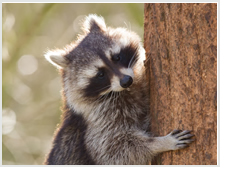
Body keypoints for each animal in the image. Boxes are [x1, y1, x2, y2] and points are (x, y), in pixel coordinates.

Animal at [43, 14, 194, 164]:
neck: (121, 91)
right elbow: (115, 150)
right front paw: (159, 143)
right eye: (100, 74)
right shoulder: (97, 121)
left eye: (116, 57)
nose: (126, 81)